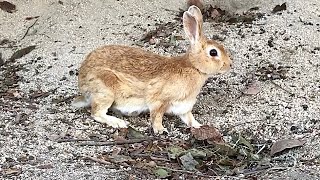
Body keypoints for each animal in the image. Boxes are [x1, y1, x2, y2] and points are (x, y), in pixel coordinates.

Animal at [72, 5, 231, 134]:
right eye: (213, 52)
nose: (229, 64)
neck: (193, 67)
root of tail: (82, 82)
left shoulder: (184, 106)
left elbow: (189, 119)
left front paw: (200, 126)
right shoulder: (159, 100)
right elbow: (156, 116)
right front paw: (160, 130)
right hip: (106, 88)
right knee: (96, 113)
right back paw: (118, 123)